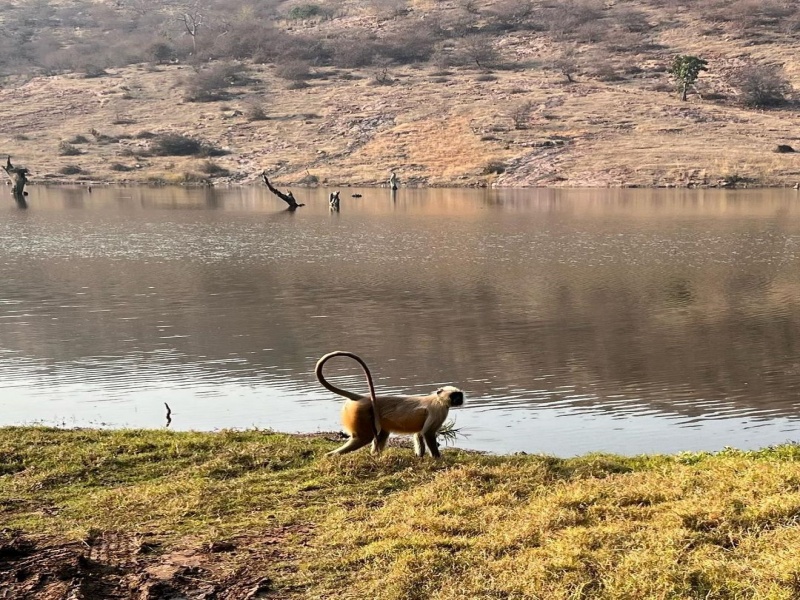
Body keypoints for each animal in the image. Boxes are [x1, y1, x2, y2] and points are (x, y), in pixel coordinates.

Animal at [312, 350, 462, 458]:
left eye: (459, 395)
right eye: (454, 396)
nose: (459, 399)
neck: (437, 399)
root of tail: (363, 398)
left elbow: (419, 434)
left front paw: (420, 457)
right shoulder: (439, 410)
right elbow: (427, 433)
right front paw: (437, 458)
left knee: (381, 433)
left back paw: (374, 456)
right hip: (360, 413)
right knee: (364, 437)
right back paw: (330, 455)